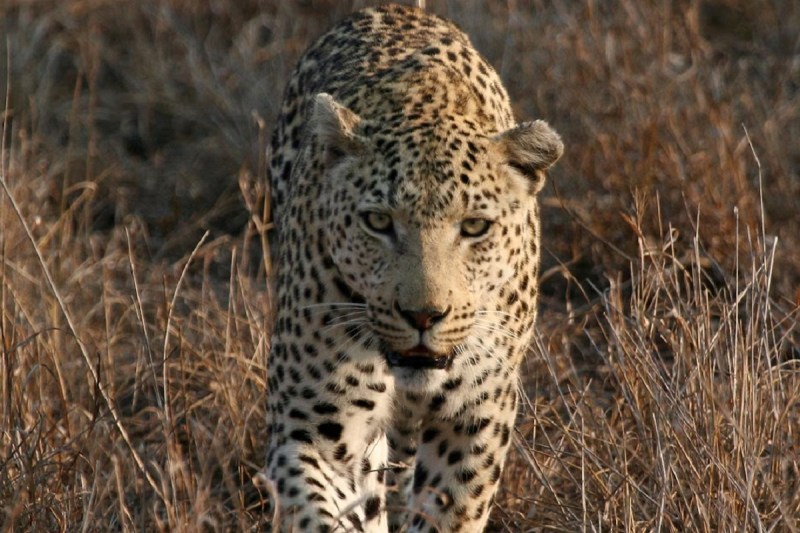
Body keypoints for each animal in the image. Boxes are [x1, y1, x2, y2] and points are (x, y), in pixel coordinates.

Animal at [264, 4, 563, 532]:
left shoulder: (475, 421)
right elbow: (322, 513)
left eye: (475, 226)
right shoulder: (310, 430)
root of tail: (391, 8)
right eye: (378, 221)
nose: (423, 316)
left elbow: (451, 512)